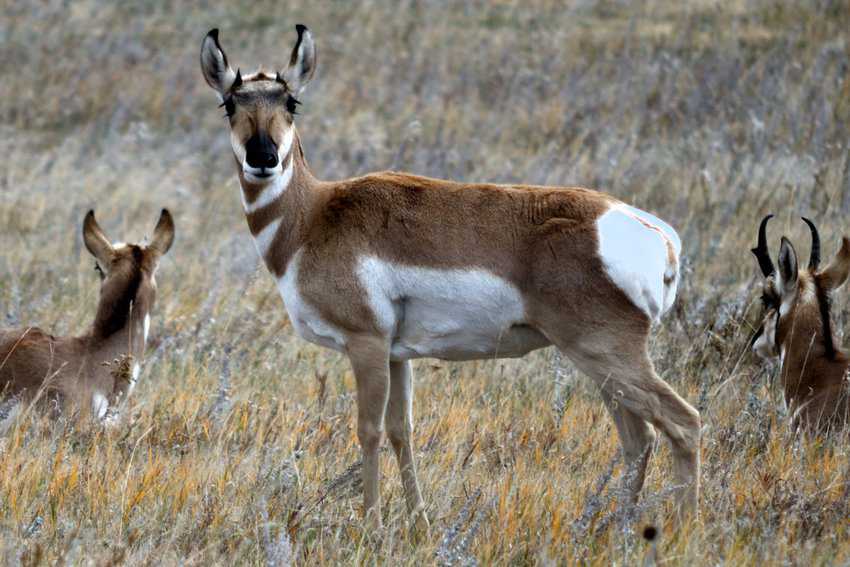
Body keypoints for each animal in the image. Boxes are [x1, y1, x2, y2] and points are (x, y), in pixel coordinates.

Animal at [200, 26, 700, 530]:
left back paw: (675, 529)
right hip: (599, 364)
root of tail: (654, 232)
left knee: (683, 422)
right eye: (229, 103)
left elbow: (369, 430)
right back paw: (613, 526)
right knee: (639, 439)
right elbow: (401, 430)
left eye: (291, 102)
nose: (263, 157)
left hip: (605, 354)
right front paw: (419, 522)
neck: (315, 216)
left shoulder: (367, 344)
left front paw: (372, 525)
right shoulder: (397, 356)